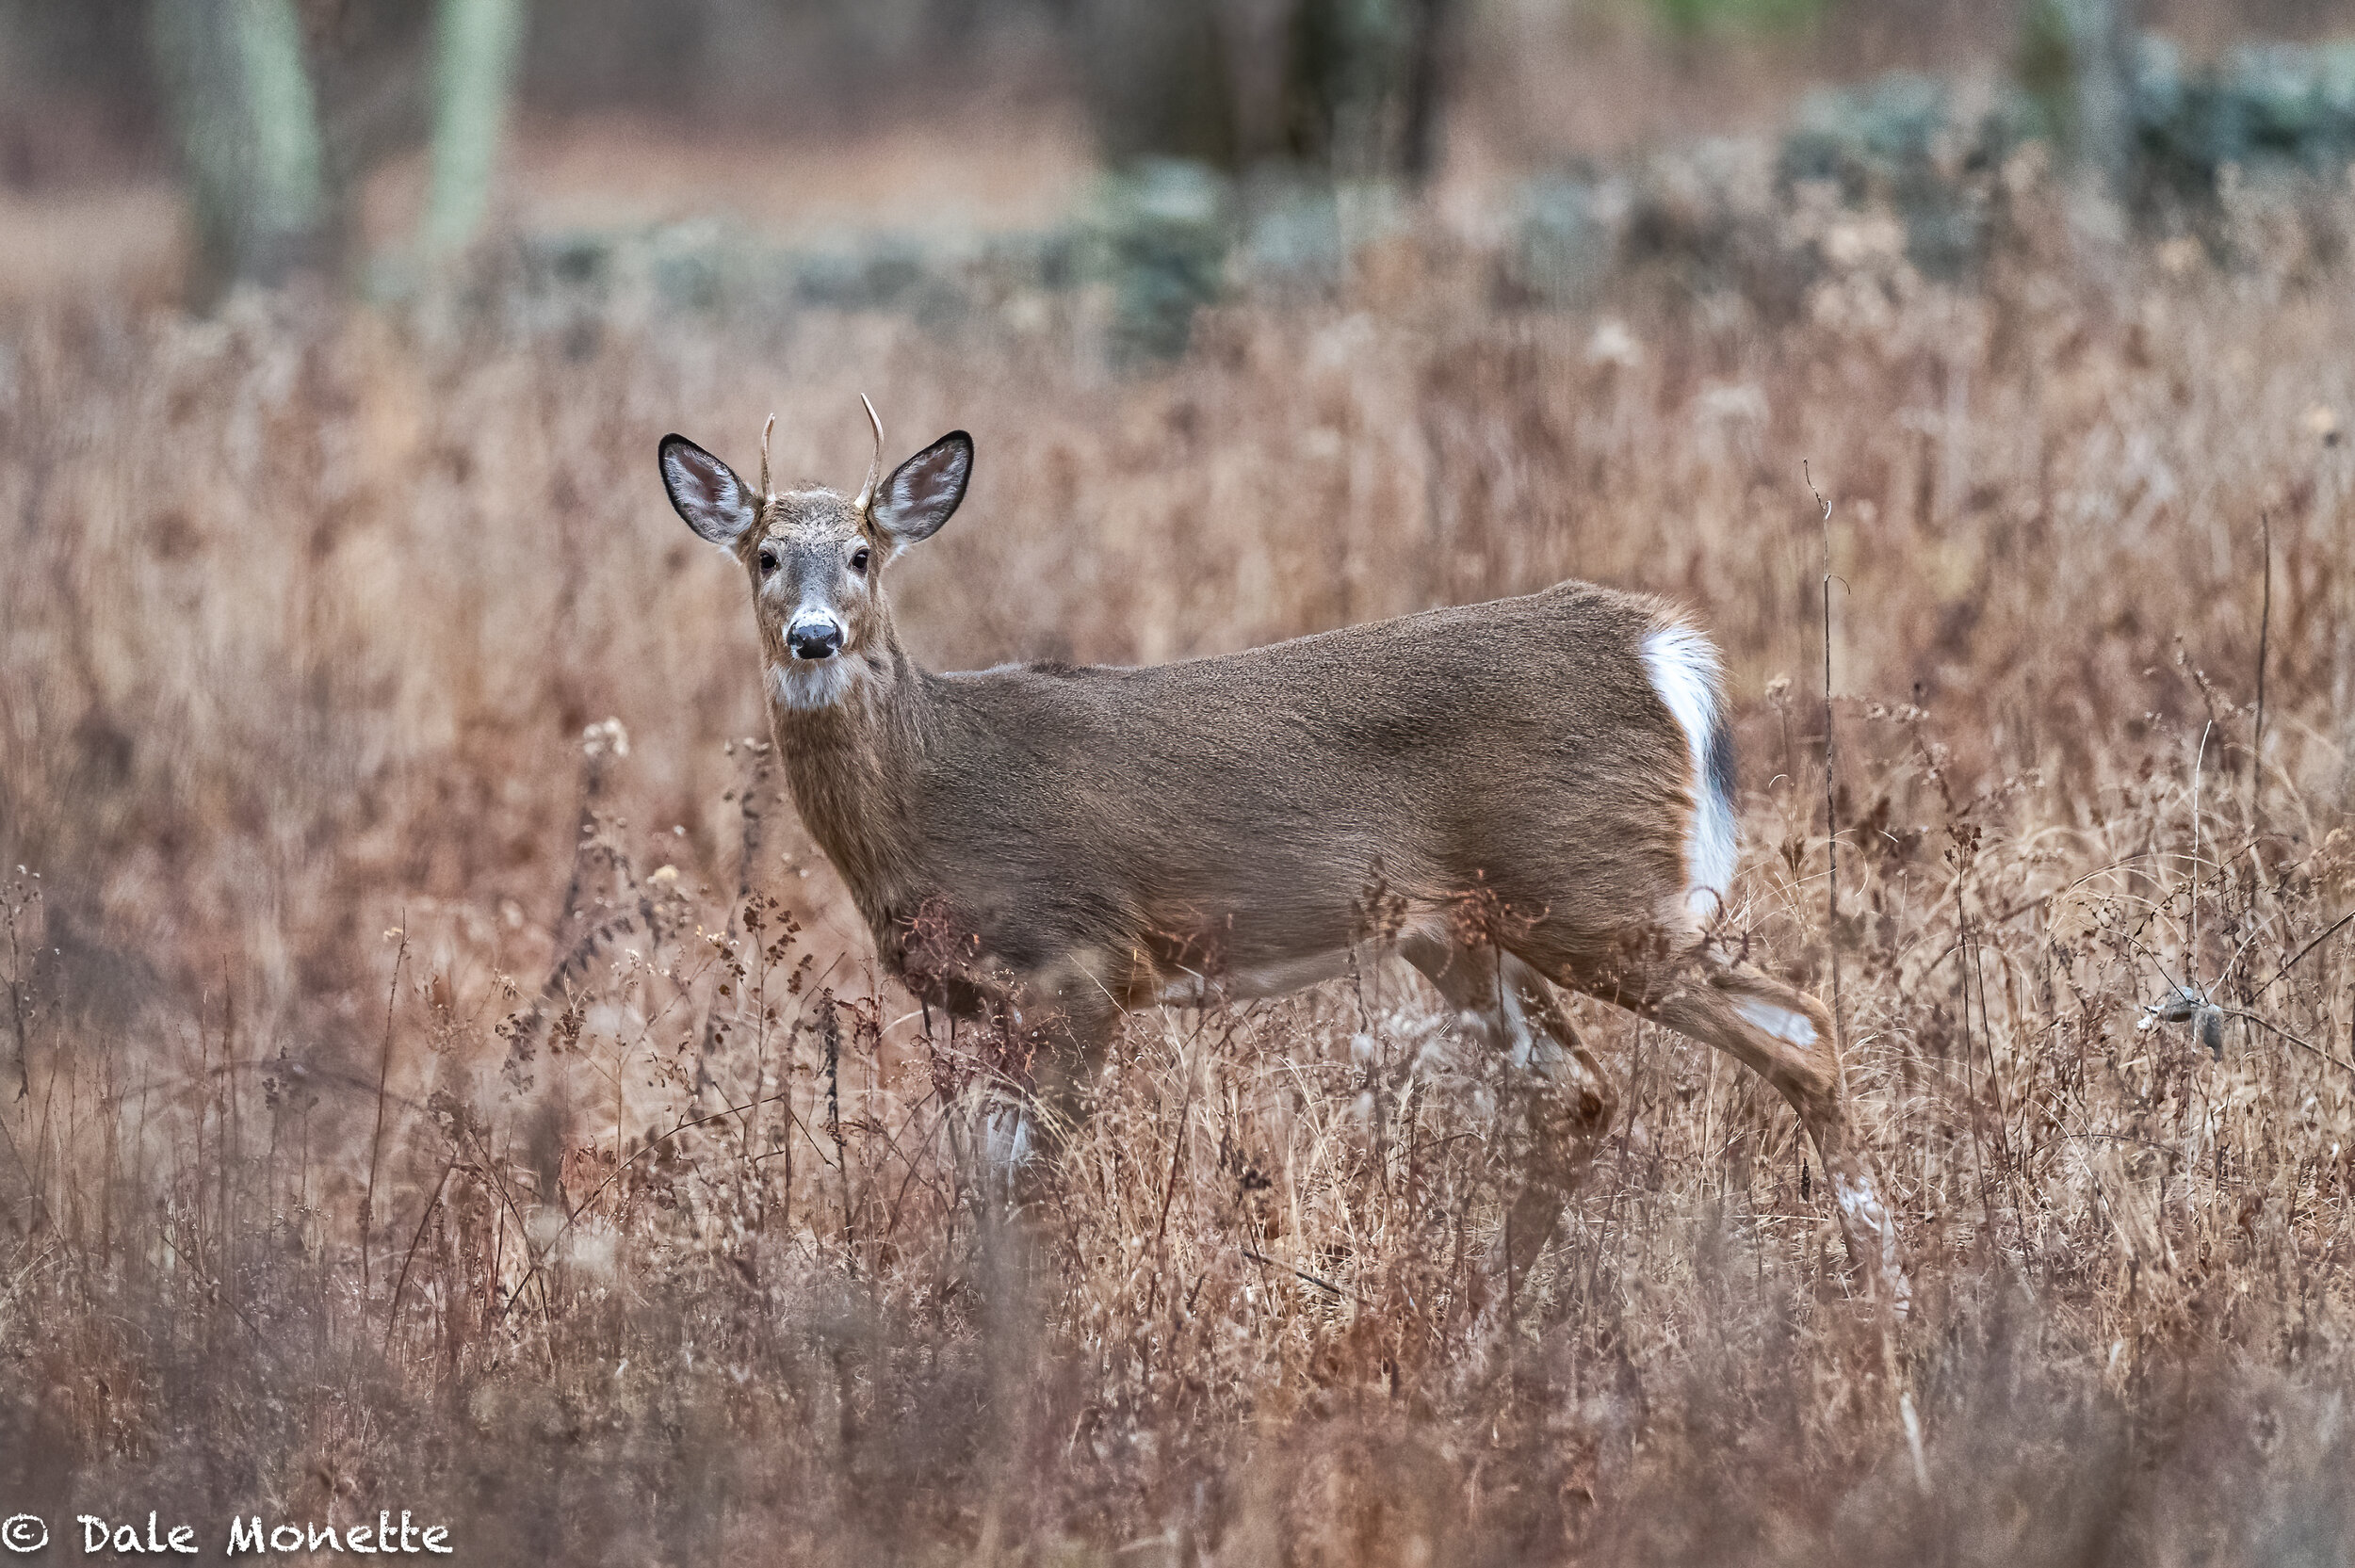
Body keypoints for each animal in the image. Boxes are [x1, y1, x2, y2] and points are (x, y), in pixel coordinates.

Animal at [655, 397, 1903, 1300]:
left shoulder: (1083, 963)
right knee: (1584, 1091)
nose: (815, 636)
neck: (931, 790)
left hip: (1597, 891)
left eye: (864, 553)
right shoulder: (994, 1007)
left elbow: (1023, 1185)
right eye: (765, 556)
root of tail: (1662, 647)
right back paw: (1482, 1311)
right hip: (1465, 931)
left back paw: (1877, 1288)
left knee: (1801, 1026)